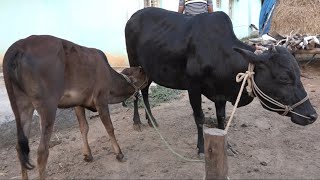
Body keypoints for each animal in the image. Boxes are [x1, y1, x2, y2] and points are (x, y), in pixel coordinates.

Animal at [2, 34, 148, 179]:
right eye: (141, 71)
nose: (145, 71)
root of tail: (18, 45)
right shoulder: (101, 99)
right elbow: (109, 127)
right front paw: (119, 153)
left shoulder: (78, 103)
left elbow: (84, 127)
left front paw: (88, 155)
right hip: (47, 106)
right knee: (42, 151)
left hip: (22, 105)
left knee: (20, 148)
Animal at [124, 7, 316, 155]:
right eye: (284, 78)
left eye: (298, 74)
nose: (312, 115)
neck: (220, 53)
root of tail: (133, 17)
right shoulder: (193, 87)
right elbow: (199, 118)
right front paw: (201, 148)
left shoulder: (220, 94)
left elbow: (221, 118)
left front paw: (227, 146)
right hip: (135, 64)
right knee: (136, 91)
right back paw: (137, 122)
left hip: (148, 70)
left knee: (145, 91)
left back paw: (151, 120)